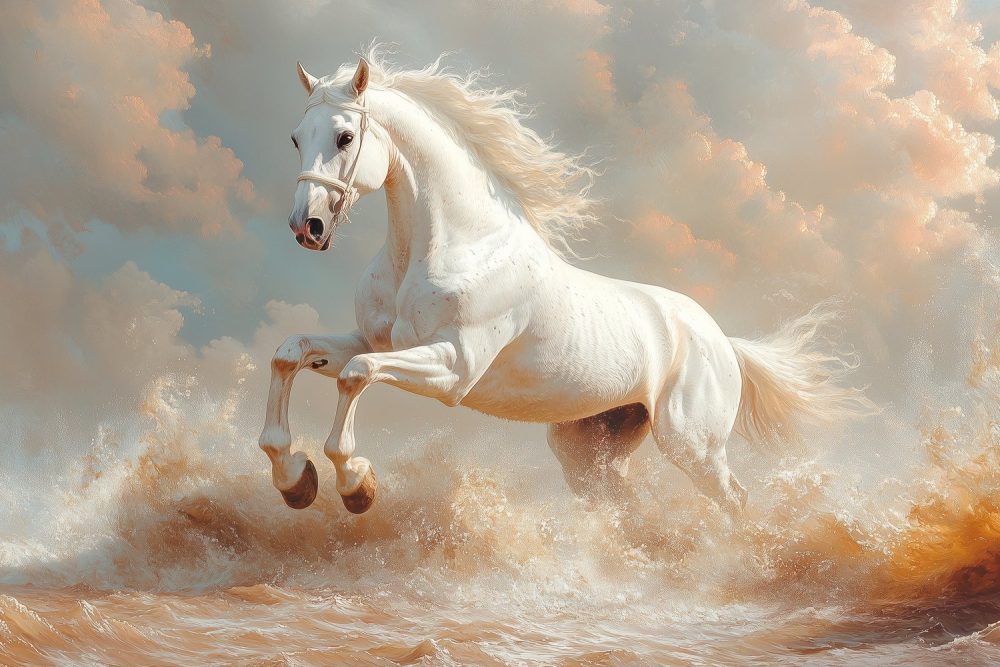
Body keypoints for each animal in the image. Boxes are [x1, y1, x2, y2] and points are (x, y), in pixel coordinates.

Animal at [258, 50, 868, 516]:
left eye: (344, 137)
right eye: (294, 138)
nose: (307, 227)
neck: (454, 245)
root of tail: (724, 343)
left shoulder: (453, 368)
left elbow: (357, 375)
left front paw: (356, 484)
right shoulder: (377, 341)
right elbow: (292, 353)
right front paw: (296, 479)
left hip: (693, 446)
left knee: (734, 501)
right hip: (588, 449)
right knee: (627, 504)